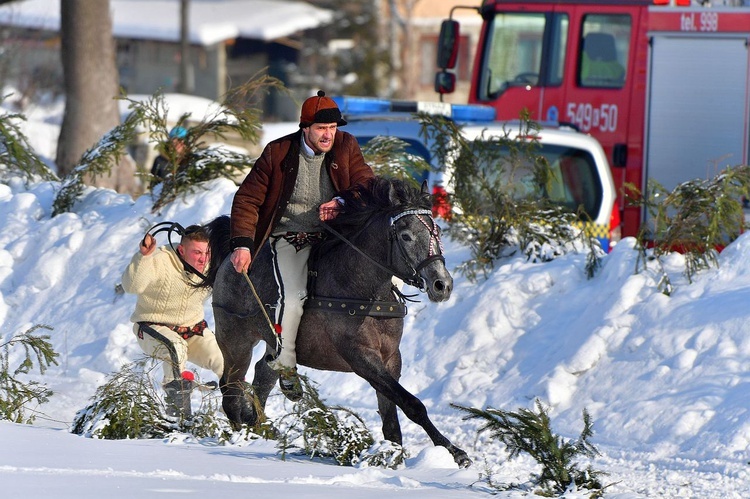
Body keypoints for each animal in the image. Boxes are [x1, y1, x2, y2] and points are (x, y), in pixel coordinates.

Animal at [203, 177, 472, 468]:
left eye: (437, 232)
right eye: (405, 236)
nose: (442, 284)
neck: (364, 290)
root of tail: (232, 259)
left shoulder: (391, 359)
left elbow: (392, 419)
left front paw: (394, 456)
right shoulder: (361, 357)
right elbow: (412, 404)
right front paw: (454, 452)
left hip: (272, 343)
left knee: (263, 376)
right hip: (236, 338)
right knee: (231, 388)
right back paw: (242, 431)